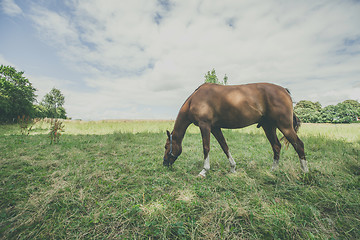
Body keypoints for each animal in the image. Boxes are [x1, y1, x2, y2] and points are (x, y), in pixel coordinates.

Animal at [164, 82, 310, 176]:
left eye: (166, 147)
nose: (165, 163)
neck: (194, 99)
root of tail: (284, 90)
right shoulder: (215, 128)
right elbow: (224, 146)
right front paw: (233, 168)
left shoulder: (204, 125)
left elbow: (206, 148)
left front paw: (204, 170)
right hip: (269, 127)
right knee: (276, 146)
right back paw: (273, 170)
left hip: (285, 126)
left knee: (299, 145)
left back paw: (305, 172)